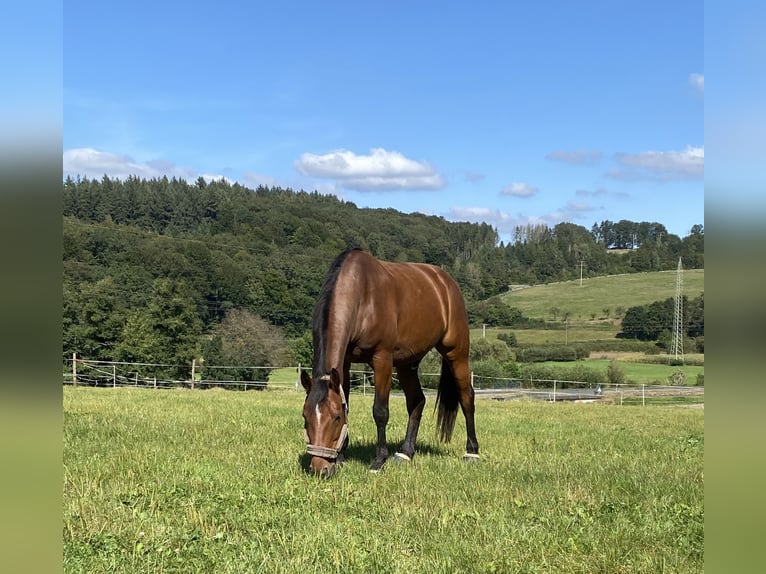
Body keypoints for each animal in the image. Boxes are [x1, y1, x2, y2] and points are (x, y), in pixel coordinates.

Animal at [302, 250, 476, 480]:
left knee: (467, 398)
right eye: (305, 417)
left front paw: (378, 461)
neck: (362, 295)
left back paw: (472, 452)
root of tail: (445, 282)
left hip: (456, 354)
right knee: (417, 401)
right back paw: (405, 453)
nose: (319, 468)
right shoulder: (345, 364)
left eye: (336, 418)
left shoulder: (382, 359)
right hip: (407, 364)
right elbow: (346, 400)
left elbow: (380, 411)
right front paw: (340, 458)